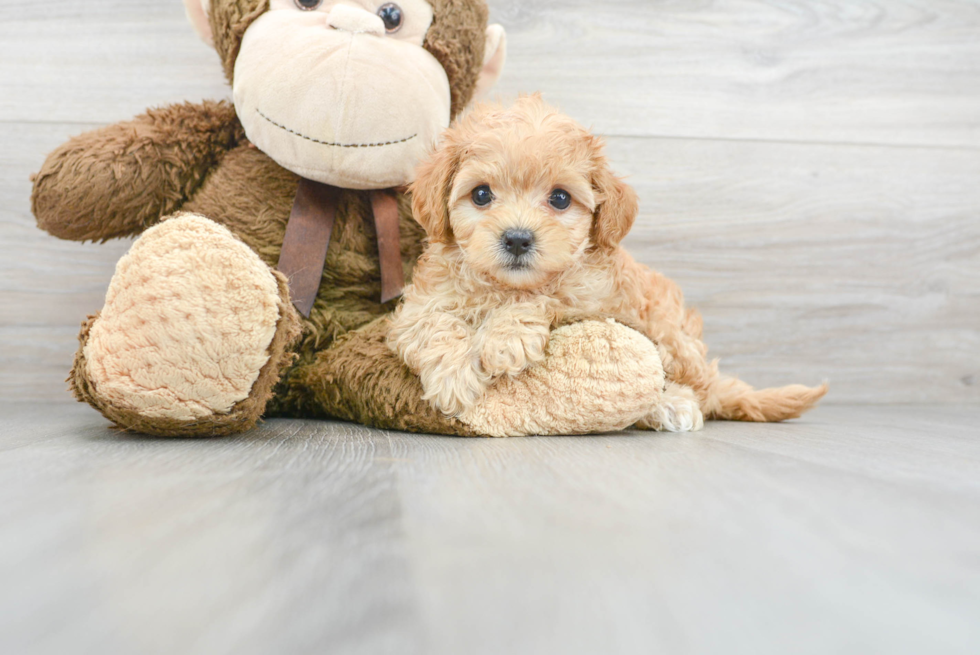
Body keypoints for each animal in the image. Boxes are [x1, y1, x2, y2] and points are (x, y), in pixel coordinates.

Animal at [390, 93, 828, 430]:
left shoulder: (595, 299)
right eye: (481, 194)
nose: (517, 238)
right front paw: (453, 377)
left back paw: (672, 405)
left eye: (560, 198)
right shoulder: (418, 304)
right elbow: (432, 324)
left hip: (671, 337)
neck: (502, 286)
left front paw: (505, 337)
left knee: (690, 388)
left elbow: (545, 295)